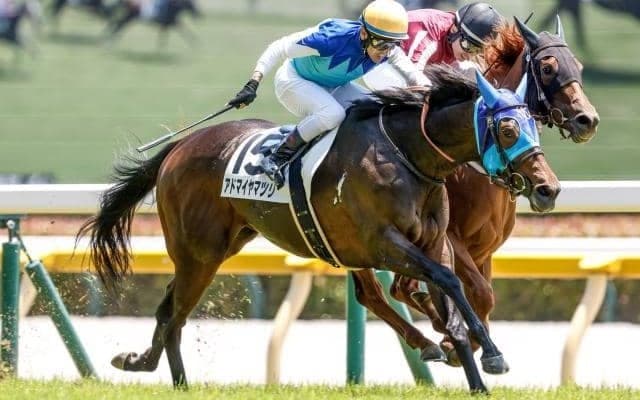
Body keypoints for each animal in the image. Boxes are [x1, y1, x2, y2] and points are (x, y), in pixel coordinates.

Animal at [77, 65, 560, 393]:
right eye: (508, 128)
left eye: (535, 125)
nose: (548, 188)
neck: (408, 155)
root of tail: (179, 146)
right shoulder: (384, 244)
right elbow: (447, 282)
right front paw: (490, 354)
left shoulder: (434, 244)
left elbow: (453, 293)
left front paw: (476, 371)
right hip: (199, 253)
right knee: (174, 314)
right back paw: (168, 377)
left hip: (221, 247)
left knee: (169, 310)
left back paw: (146, 365)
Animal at [357, 17, 600, 366]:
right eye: (548, 67)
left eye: (577, 65)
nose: (587, 120)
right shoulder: (449, 239)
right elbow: (480, 294)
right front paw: (461, 344)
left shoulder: (485, 250)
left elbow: (483, 295)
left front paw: (468, 341)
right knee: (374, 293)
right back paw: (430, 338)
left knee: (393, 290)